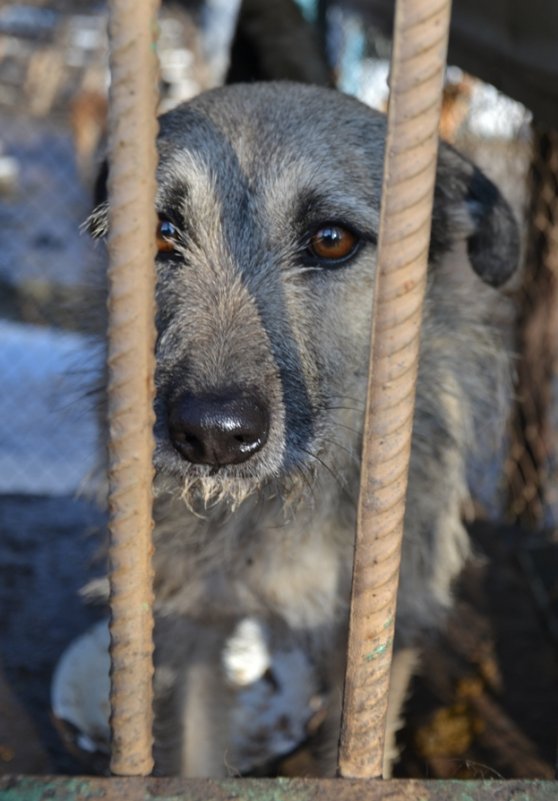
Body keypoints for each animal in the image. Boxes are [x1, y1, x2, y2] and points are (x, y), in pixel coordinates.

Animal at [53, 81, 520, 776]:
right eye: (162, 234)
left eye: (331, 240)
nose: (213, 434)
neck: (274, 505)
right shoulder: (189, 625)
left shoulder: (378, 644)